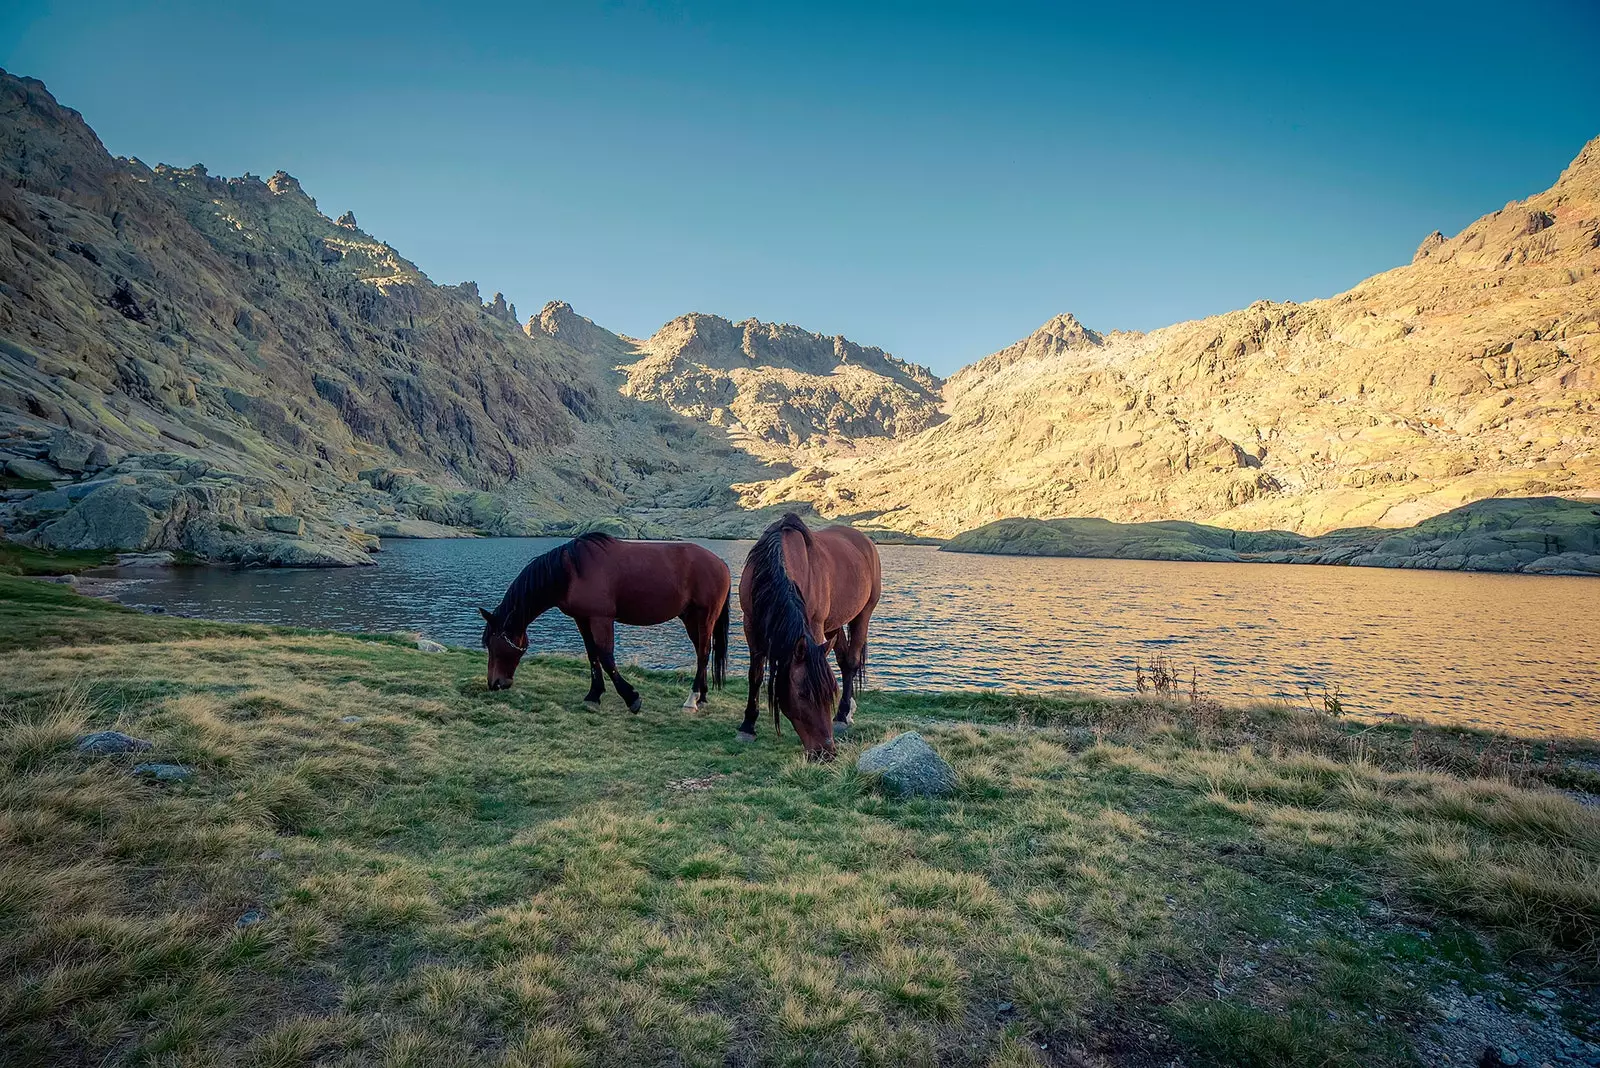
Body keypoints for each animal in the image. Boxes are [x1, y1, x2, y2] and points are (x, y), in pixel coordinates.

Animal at [473, 530, 726, 713]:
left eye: (495, 646)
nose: (495, 684)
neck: (572, 572)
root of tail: (720, 563)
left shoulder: (601, 619)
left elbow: (606, 657)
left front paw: (631, 698)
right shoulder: (582, 619)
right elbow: (592, 655)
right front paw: (594, 695)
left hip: (705, 617)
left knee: (704, 653)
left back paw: (691, 700)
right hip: (690, 619)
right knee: (702, 652)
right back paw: (702, 696)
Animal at [739, 514, 883, 757]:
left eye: (830, 693)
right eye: (803, 694)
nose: (826, 752)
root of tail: (866, 542)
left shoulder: (814, 626)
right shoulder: (751, 625)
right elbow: (755, 675)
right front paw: (748, 725)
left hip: (863, 614)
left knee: (852, 661)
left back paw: (842, 715)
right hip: (833, 625)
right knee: (844, 661)